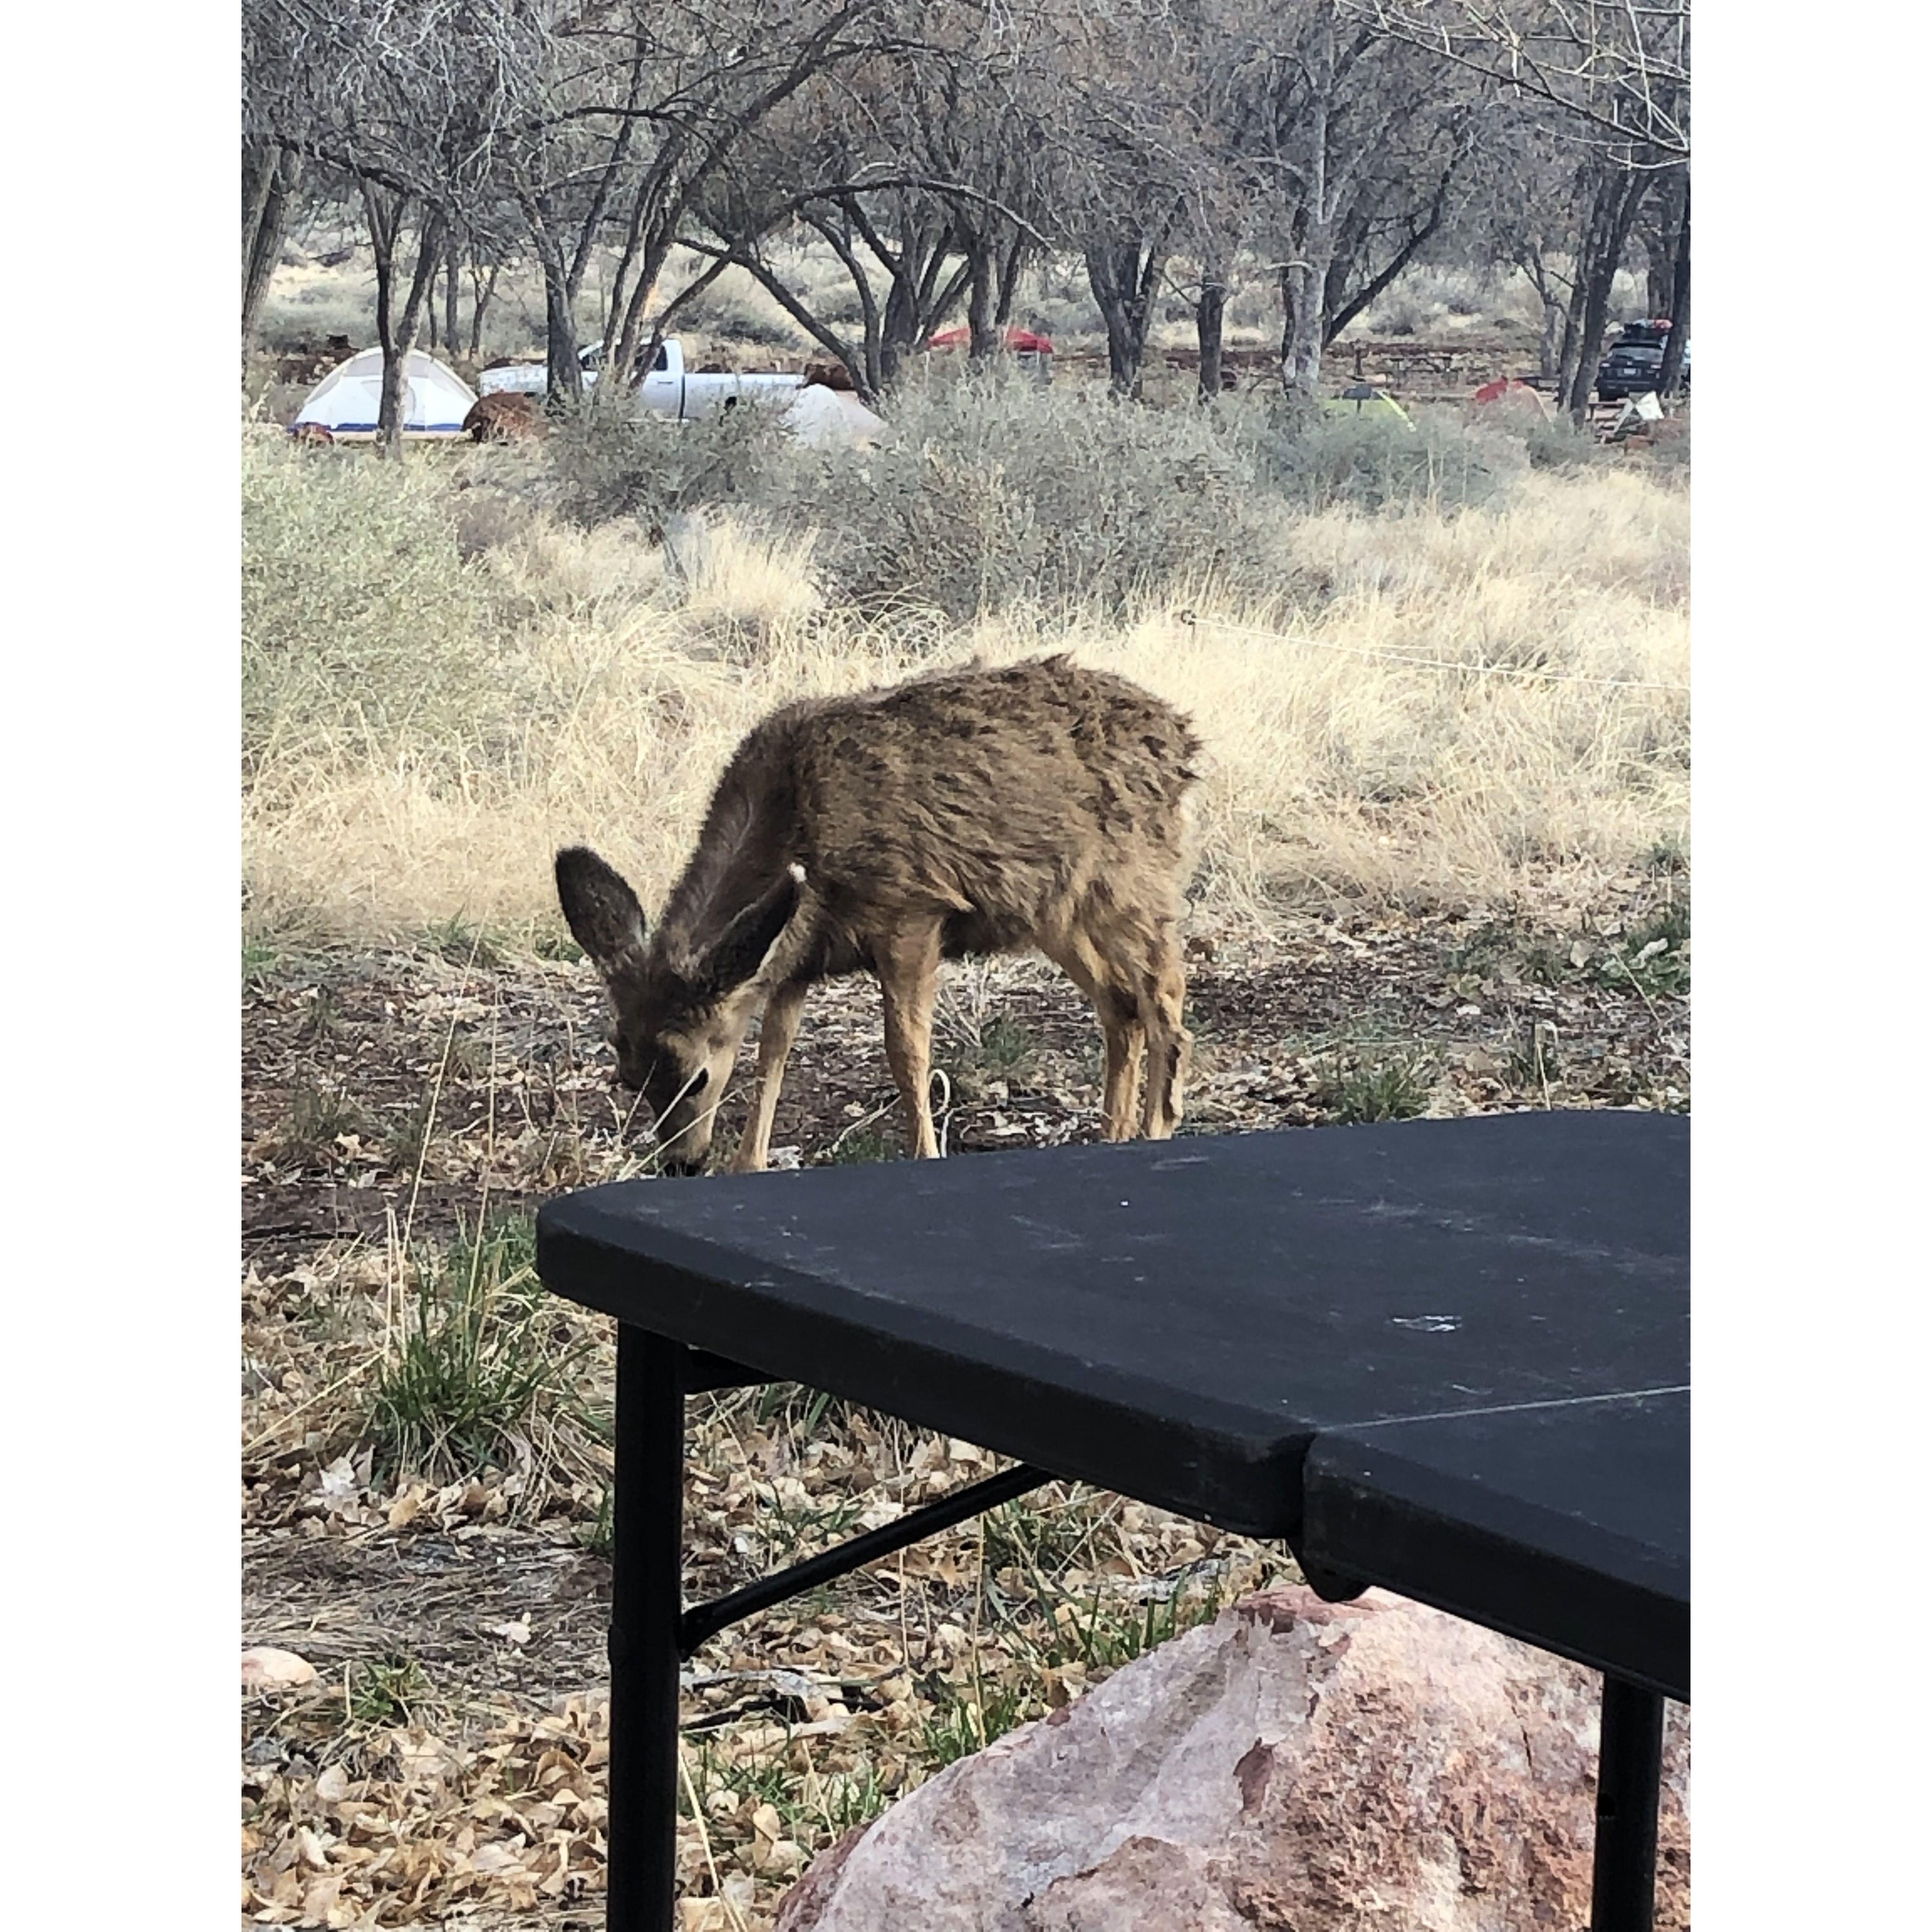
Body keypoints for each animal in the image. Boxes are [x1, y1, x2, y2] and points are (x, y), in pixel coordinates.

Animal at [554, 654, 1202, 1175]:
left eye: (696, 1076)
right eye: (628, 1076)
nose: (681, 1163)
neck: (795, 822)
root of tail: (1180, 735)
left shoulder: (910, 912)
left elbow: (906, 1052)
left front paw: (925, 1153)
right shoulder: (793, 951)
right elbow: (774, 1051)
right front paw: (748, 1164)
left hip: (1132, 881)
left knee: (1165, 996)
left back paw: (1156, 1128)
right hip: (1056, 910)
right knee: (1120, 1004)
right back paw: (1111, 1137)